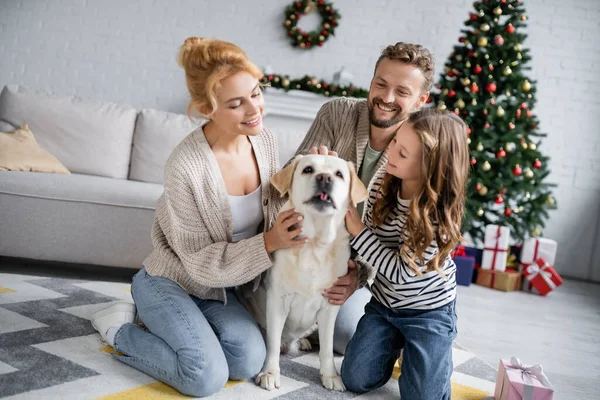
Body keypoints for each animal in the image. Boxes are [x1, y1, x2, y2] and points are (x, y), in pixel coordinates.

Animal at [241, 155, 368, 392]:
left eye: (339, 174)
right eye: (308, 169)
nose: (325, 178)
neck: (314, 244)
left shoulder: (329, 306)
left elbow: (327, 347)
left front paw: (331, 376)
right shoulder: (277, 299)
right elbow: (272, 343)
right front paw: (269, 373)